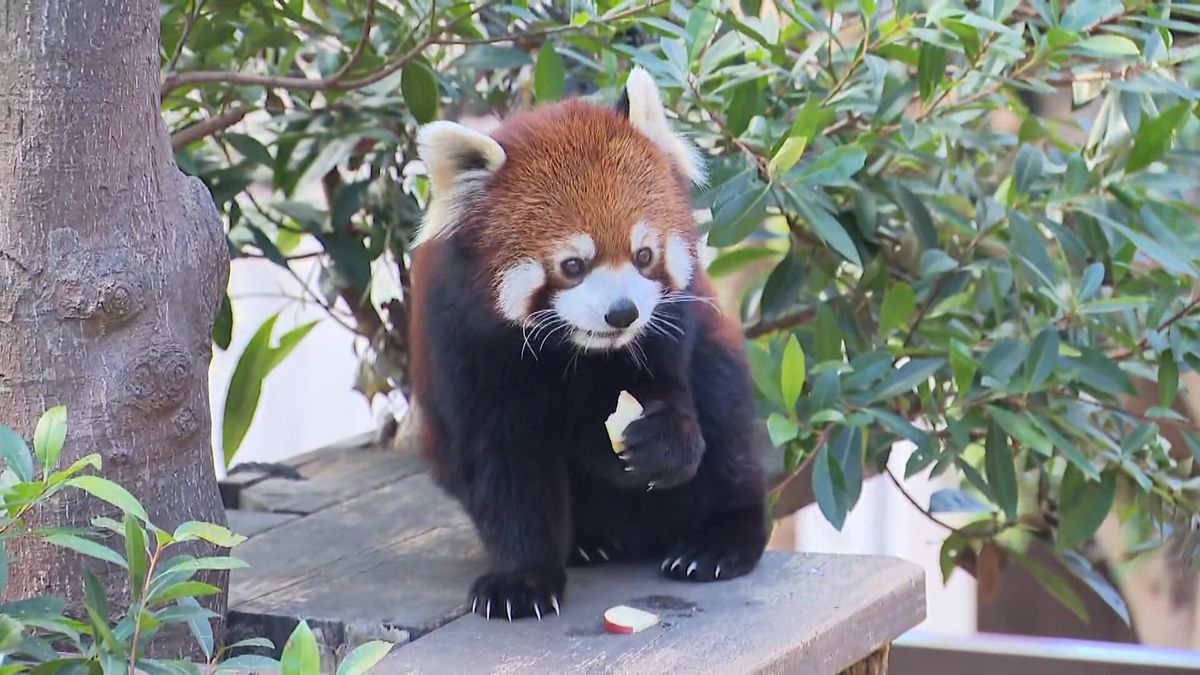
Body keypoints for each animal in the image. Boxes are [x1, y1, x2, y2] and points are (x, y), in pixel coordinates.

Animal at [412, 68, 763, 619]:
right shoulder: (465, 347)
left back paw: (720, 539)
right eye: (572, 265)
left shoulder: (669, 323)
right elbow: (505, 466)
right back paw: (588, 542)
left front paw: (661, 438)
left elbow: (669, 390)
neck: (575, 350)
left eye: (644, 255)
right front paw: (522, 578)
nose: (622, 313)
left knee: (725, 414)